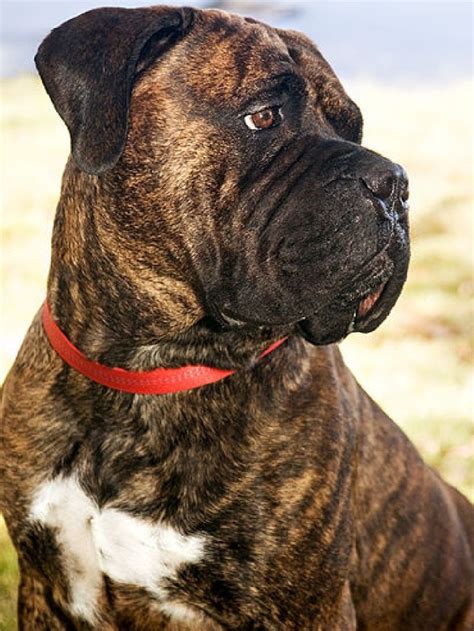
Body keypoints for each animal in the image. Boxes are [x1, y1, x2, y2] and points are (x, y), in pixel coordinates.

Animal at [0, 6, 474, 631]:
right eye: (263, 116)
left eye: (352, 130)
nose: (395, 184)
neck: (144, 376)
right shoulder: (46, 588)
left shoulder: (309, 608)